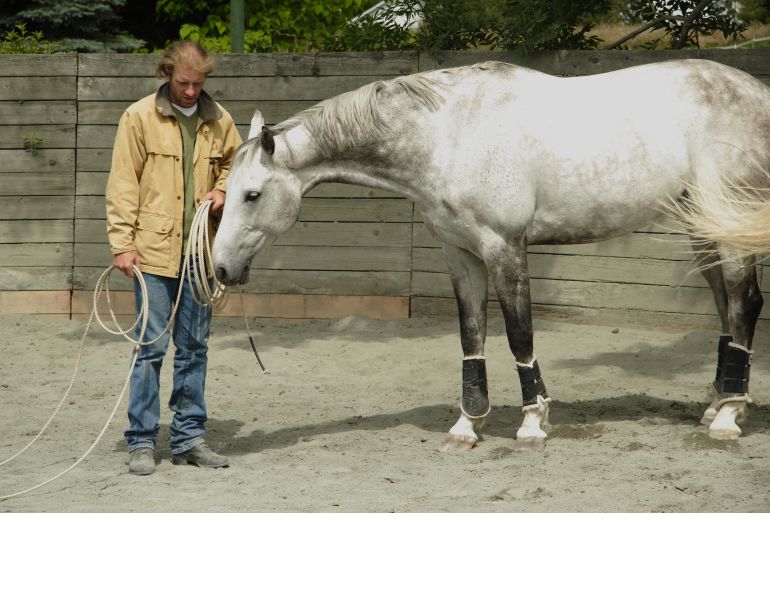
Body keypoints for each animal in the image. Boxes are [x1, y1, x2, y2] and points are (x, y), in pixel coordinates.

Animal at [212, 58, 770, 451]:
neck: (446, 135)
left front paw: (532, 423)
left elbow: (519, 332)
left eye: (252, 195)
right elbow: (471, 335)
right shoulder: (460, 253)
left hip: (730, 224)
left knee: (745, 305)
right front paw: (467, 425)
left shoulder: (505, 247)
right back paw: (720, 404)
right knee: (727, 308)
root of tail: (758, 92)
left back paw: (726, 419)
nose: (220, 268)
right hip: (704, 228)